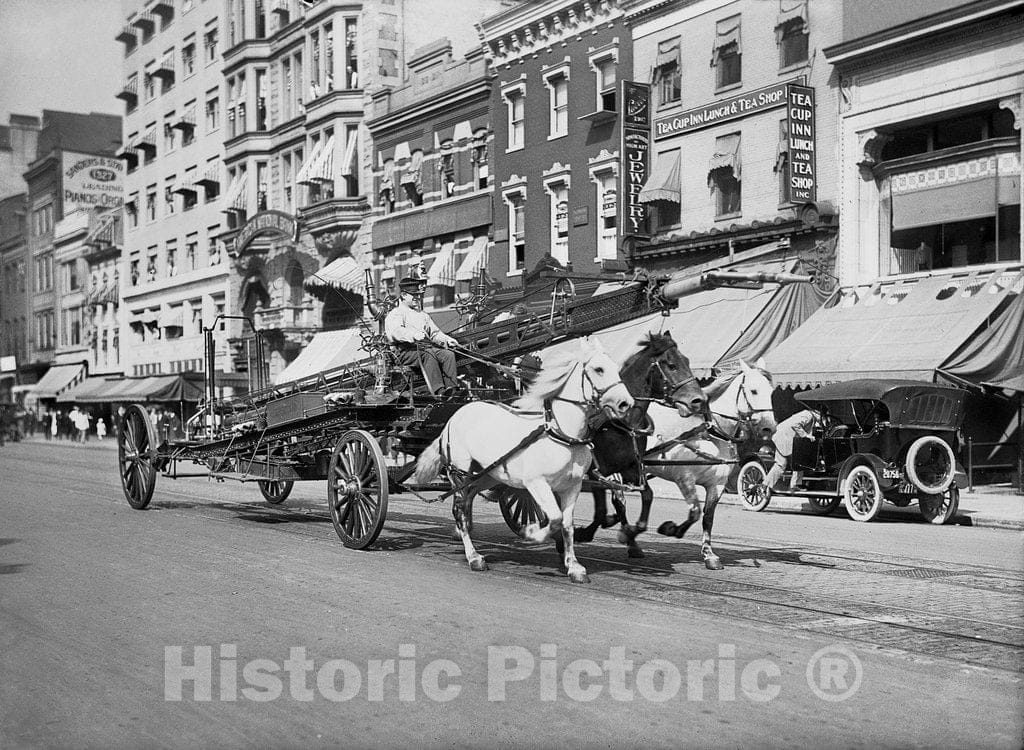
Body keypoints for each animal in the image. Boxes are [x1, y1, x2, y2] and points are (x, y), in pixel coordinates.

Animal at [413, 336, 634, 581]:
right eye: (599, 369)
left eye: (615, 367)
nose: (626, 403)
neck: (560, 433)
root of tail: (454, 417)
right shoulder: (536, 483)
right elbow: (554, 518)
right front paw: (532, 533)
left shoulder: (572, 485)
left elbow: (567, 524)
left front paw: (574, 566)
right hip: (460, 472)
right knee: (459, 509)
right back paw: (474, 556)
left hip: (487, 474)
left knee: (469, 498)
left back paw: (465, 532)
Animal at [581, 334, 708, 557]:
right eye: (671, 365)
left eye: (687, 361)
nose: (698, 400)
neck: (621, 423)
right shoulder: (596, 471)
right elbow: (601, 510)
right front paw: (585, 532)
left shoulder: (631, 468)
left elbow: (646, 496)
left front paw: (630, 535)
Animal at [643, 360, 770, 569]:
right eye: (754, 391)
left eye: (771, 391)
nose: (770, 427)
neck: (710, 432)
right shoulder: (684, 477)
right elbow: (694, 512)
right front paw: (671, 529)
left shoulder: (716, 485)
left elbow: (707, 518)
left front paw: (709, 555)